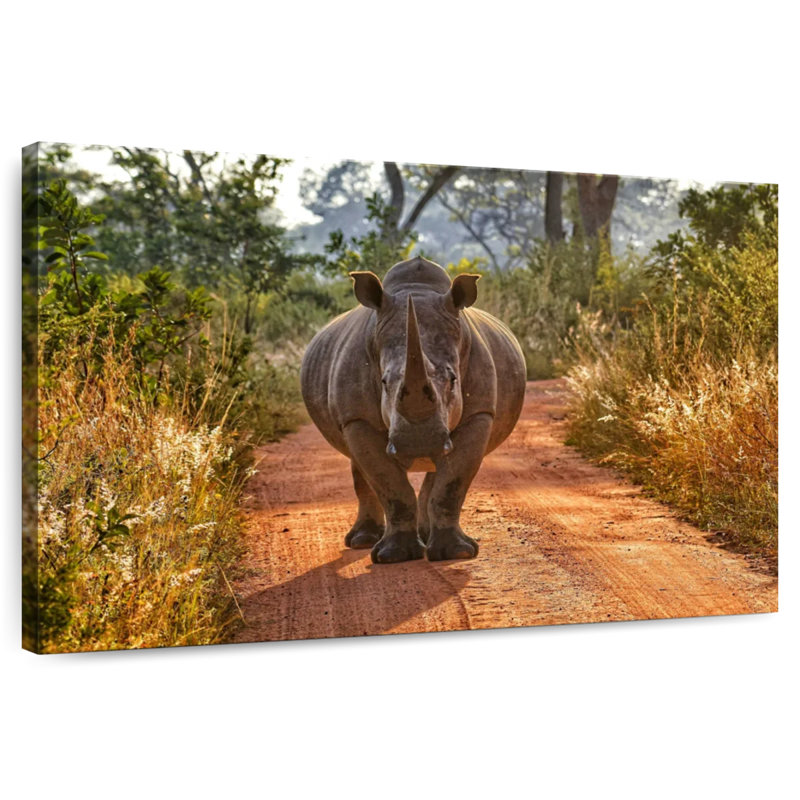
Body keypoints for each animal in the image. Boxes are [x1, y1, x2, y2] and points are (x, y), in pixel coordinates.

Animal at [300, 256, 527, 563]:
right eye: (384, 382)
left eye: (453, 380)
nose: (419, 443)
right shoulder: (357, 419)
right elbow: (389, 484)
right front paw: (395, 556)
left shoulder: (479, 414)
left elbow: (451, 484)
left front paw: (456, 553)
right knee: (360, 467)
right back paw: (362, 541)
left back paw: (425, 535)